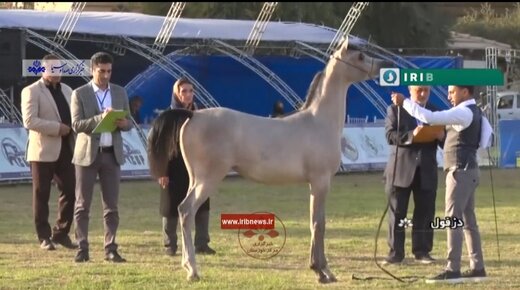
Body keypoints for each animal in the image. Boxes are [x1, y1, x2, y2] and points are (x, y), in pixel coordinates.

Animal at [146, 38, 386, 284]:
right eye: (360, 57)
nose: (381, 66)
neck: (318, 122)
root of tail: (192, 115)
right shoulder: (321, 182)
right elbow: (318, 224)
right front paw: (322, 271)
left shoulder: (314, 184)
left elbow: (314, 223)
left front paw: (320, 269)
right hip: (208, 180)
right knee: (186, 211)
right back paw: (193, 270)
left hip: (195, 179)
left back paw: (187, 265)